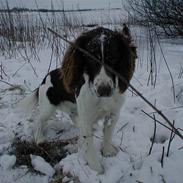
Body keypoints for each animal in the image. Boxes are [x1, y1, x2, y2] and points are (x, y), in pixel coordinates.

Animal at [19, 25, 137, 173]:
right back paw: (39, 138)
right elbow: (89, 144)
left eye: (113, 57)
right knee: (38, 120)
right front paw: (96, 168)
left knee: (72, 116)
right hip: (48, 108)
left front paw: (107, 152)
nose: (104, 90)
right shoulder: (87, 117)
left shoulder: (113, 114)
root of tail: (45, 78)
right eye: (90, 58)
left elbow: (108, 134)